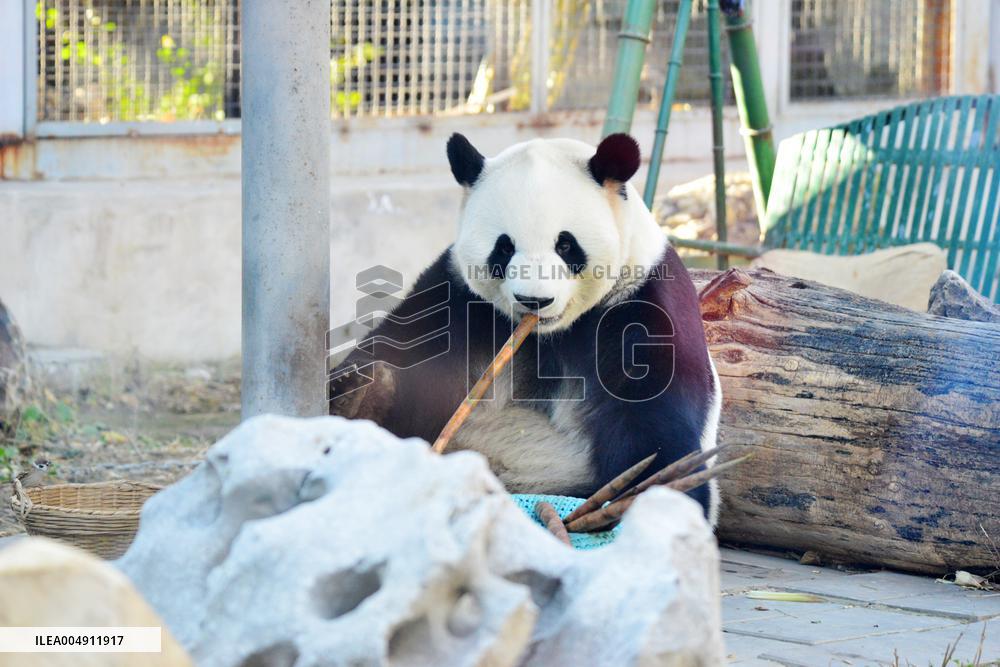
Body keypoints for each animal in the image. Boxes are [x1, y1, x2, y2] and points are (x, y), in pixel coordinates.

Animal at [330, 132, 722, 524]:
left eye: (565, 244)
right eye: (504, 248)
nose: (534, 300)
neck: (545, 334)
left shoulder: (639, 305)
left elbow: (650, 415)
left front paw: (660, 500)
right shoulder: (457, 297)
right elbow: (409, 353)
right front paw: (357, 389)